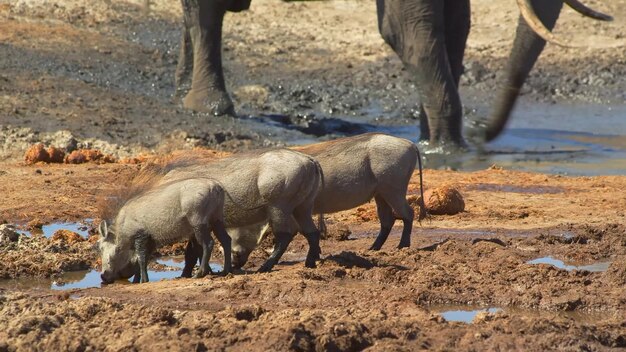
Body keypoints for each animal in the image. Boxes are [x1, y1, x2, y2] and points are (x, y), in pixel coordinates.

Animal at [174, 0, 608, 148]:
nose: (481, 132)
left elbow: (456, 25)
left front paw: (429, 140)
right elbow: (407, 30)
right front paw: (447, 149)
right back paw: (210, 108)